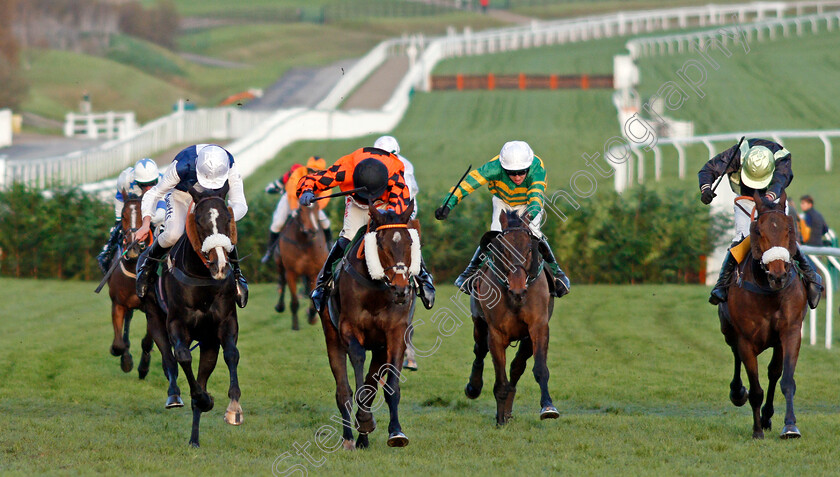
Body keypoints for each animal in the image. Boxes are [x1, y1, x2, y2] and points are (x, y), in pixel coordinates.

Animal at [106, 195, 183, 408]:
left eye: (142, 214)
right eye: (124, 215)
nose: (133, 247)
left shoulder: (152, 308)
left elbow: (148, 342)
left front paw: (143, 367)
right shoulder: (118, 303)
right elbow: (119, 344)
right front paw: (126, 361)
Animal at [155, 184, 243, 444]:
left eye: (227, 219)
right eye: (200, 221)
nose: (220, 265)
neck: (203, 279)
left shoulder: (225, 322)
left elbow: (232, 354)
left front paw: (234, 409)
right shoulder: (176, 322)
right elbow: (183, 356)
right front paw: (203, 399)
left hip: (208, 341)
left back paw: (194, 439)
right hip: (155, 319)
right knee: (169, 357)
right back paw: (178, 399)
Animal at [324, 202, 424, 450]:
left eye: (410, 242)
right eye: (380, 244)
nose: (401, 290)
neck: (376, 292)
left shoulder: (395, 333)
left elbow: (389, 387)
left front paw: (396, 432)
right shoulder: (349, 329)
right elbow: (357, 372)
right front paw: (364, 421)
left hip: (379, 349)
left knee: (371, 384)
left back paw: (362, 438)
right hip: (331, 336)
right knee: (343, 390)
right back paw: (349, 438)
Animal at [466, 211, 556, 424]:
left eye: (529, 250)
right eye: (503, 250)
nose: (518, 291)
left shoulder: (538, 326)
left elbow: (538, 368)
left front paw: (548, 406)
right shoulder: (496, 333)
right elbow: (500, 378)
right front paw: (499, 419)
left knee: (517, 366)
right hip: (479, 324)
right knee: (479, 350)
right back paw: (474, 387)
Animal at [716, 191, 808, 438]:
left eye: (789, 229)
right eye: (759, 231)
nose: (778, 276)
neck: (768, 292)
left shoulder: (791, 332)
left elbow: (786, 380)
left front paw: (790, 426)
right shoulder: (746, 340)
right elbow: (755, 389)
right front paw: (757, 431)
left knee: (774, 372)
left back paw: (767, 416)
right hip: (728, 331)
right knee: (735, 355)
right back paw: (738, 392)